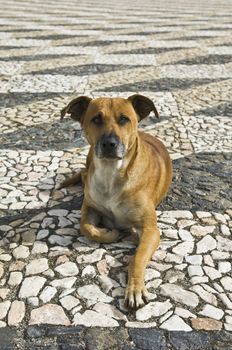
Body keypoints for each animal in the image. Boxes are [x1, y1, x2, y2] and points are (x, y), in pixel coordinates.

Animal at [59, 94, 172, 308]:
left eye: (124, 119)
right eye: (96, 119)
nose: (109, 144)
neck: (111, 173)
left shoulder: (151, 230)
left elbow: (137, 258)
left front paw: (135, 288)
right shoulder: (90, 207)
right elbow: (86, 227)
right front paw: (109, 234)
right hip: (88, 159)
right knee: (84, 173)